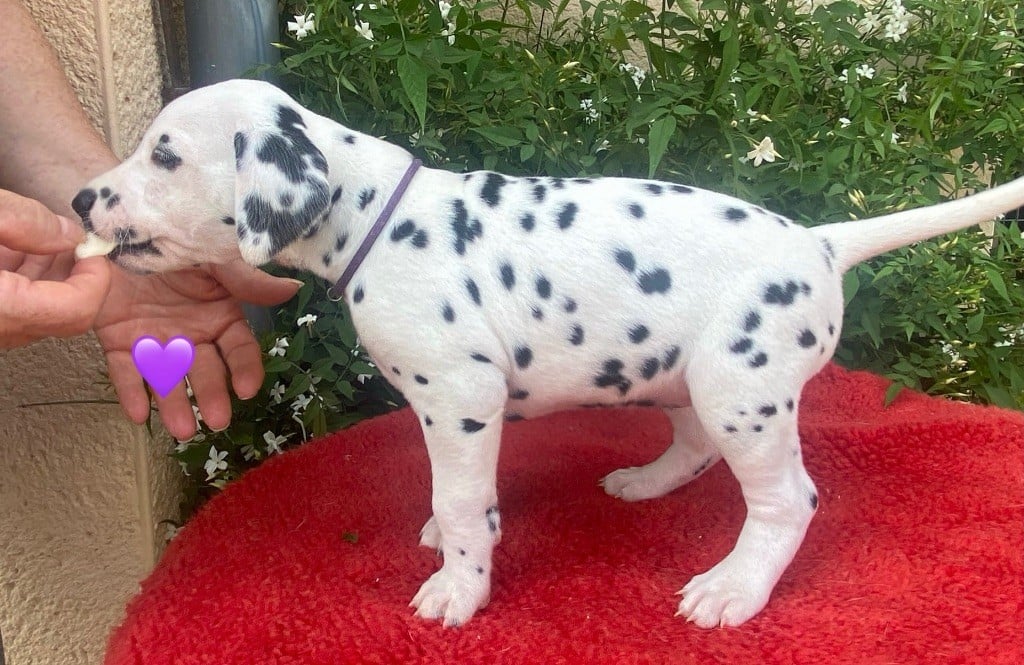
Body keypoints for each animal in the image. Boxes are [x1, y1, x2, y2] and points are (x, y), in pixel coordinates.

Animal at [72, 79, 1024, 629]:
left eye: (164, 155)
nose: (82, 198)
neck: (378, 217)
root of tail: (821, 245)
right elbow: (465, 498)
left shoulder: (459, 397)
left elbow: (460, 501)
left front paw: (458, 587)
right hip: (684, 376)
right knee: (694, 444)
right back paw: (646, 480)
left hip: (742, 388)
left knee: (788, 500)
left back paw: (736, 586)